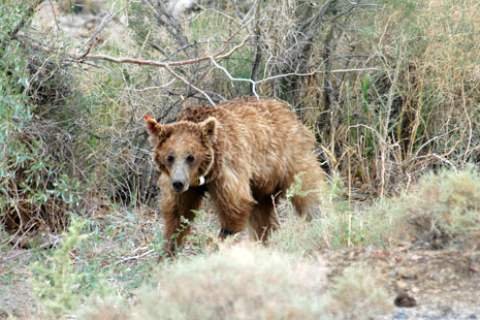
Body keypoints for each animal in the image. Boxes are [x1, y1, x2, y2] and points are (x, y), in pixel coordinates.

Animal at [145, 97, 326, 255]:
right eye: (170, 157)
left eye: (191, 156)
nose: (178, 183)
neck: (206, 173)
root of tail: (289, 112)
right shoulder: (183, 186)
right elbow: (177, 216)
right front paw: (166, 255)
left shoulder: (228, 166)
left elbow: (235, 206)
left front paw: (223, 245)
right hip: (261, 183)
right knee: (261, 216)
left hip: (292, 158)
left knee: (310, 195)